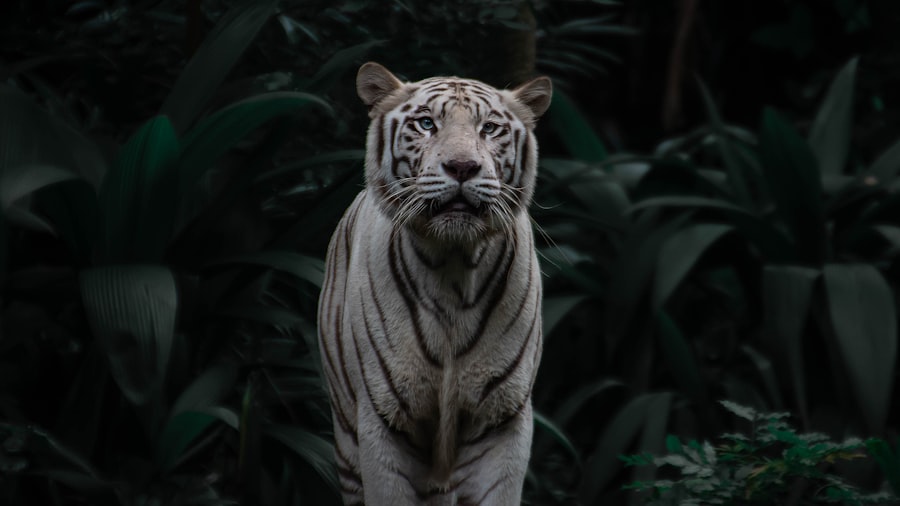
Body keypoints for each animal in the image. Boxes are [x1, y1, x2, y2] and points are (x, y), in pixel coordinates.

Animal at [317, 62, 551, 506]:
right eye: (426, 124)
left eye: (489, 128)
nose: (462, 167)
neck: (454, 268)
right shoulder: (383, 420)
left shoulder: (502, 420)